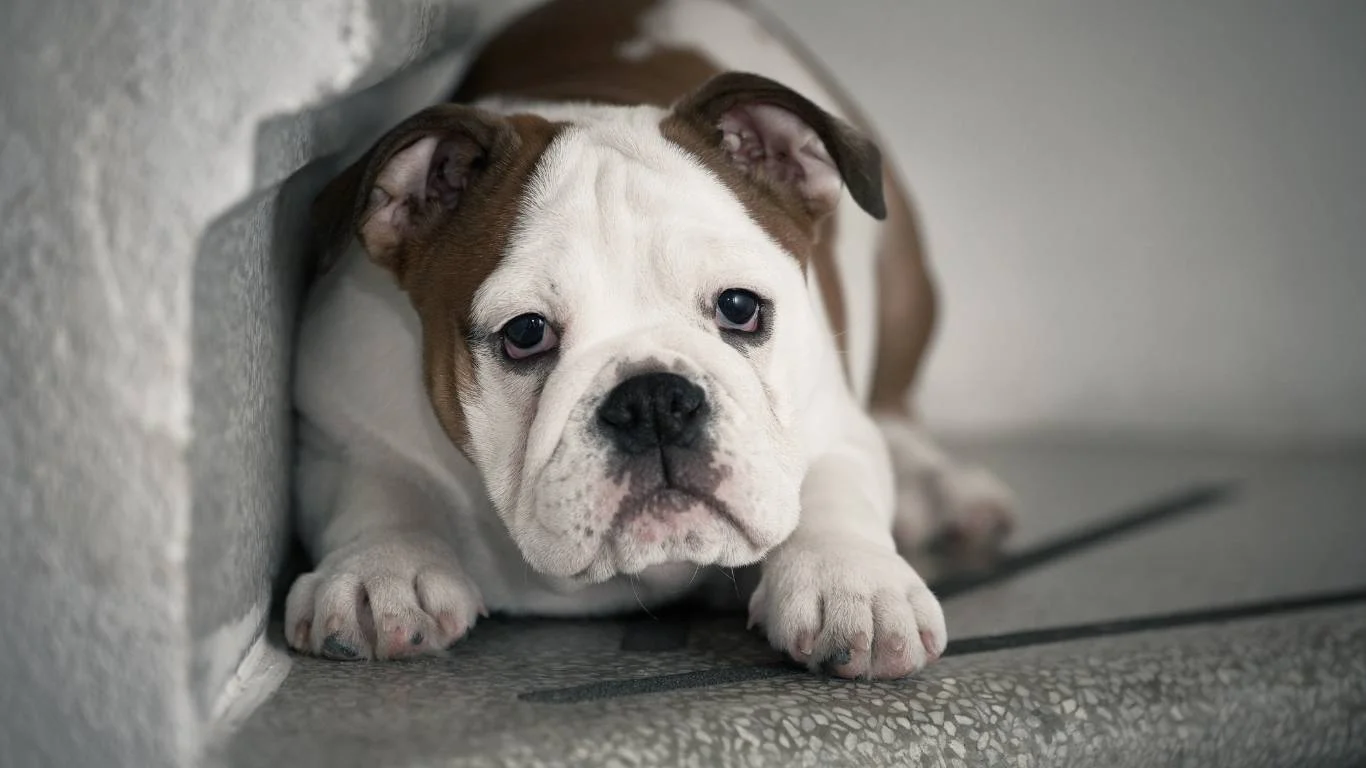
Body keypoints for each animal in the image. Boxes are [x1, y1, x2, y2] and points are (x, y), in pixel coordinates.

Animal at [288, 0, 1016, 675]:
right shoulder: (337, 424)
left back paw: (945, 490)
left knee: (897, 406)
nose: (655, 400)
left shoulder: (833, 423)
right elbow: (375, 488)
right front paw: (380, 571)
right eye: (525, 334)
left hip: (904, 288)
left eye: (740, 307)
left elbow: (832, 489)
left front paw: (852, 583)